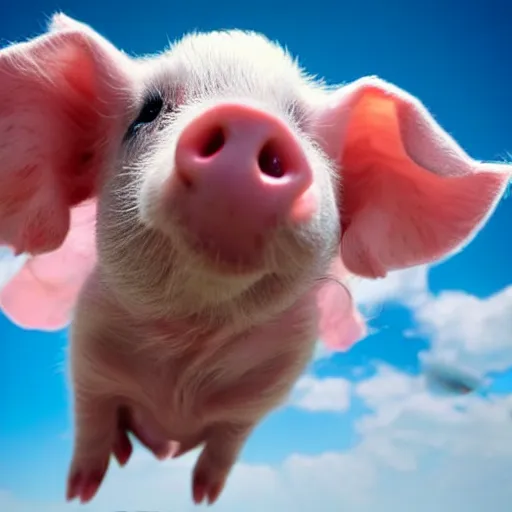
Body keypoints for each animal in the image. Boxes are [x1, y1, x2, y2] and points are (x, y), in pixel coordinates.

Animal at [1, 12, 512, 508]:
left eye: (304, 128)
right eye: (148, 111)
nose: (246, 118)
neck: (189, 347)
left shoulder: (259, 400)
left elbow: (227, 445)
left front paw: (203, 496)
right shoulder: (90, 365)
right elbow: (91, 424)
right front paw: (79, 493)